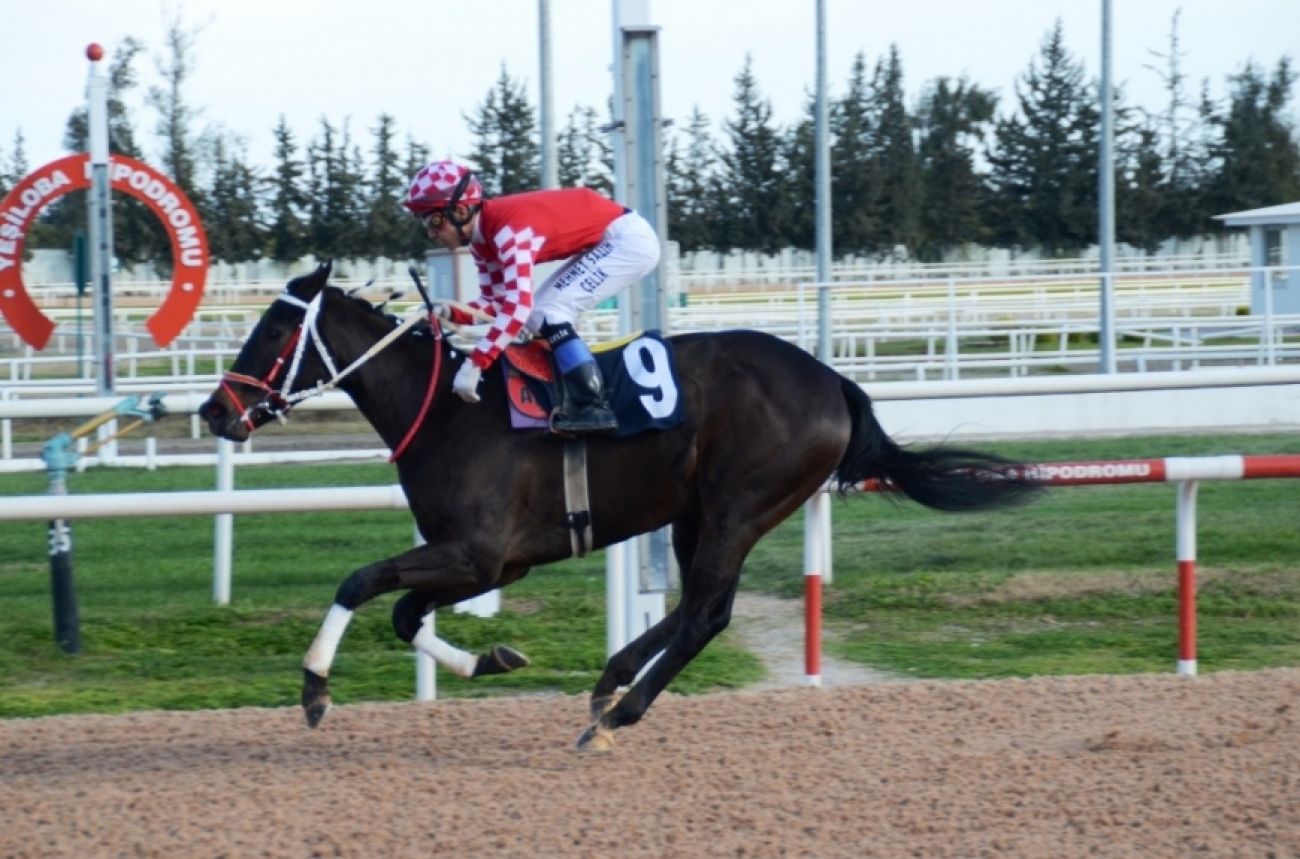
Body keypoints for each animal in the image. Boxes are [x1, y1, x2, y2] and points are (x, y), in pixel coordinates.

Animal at [197, 262, 1040, 748]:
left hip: (739, 505)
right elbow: (405, 614)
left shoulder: (479, 553)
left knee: (706, 613)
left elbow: (360, 581)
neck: (445, 410)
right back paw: (610, 681)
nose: (212, 411)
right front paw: (493, 657)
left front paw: (314, 688)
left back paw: (621, 710)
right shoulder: (484, 561)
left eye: (274, 328)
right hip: (695, 511)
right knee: (696, 605)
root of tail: (834, 381)